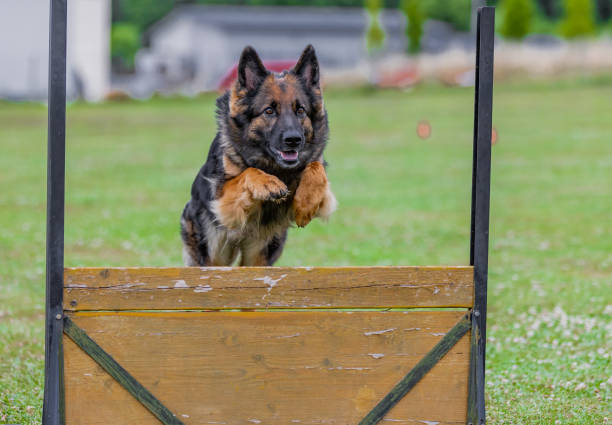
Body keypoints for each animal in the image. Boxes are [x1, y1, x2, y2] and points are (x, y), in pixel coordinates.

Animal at [179, 45, 338, 264]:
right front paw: (267, 183)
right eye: (269, 111)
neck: (274, 167)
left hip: (261, 252)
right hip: (214, 253)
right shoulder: (223, 202)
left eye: (300, 110)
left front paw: (305, 204)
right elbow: (248, 172)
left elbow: (316, 167)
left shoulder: (325, 195)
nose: (294, 139)